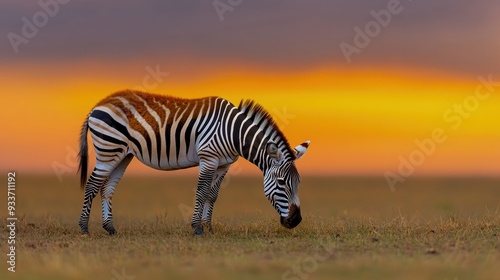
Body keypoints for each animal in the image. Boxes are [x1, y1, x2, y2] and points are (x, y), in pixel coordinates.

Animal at [77, 90, 308, 234]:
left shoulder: (223, 164)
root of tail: (97, 105)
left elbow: (212, 195)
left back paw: (110, 228)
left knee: (106, 188)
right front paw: (197, 228)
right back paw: (84, 228)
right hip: (108, 149)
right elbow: (201, 191)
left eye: (298, 183)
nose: (296, 220)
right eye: (281, 183)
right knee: (92, 185)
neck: (233, 133)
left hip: (121, 154)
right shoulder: (208, 158)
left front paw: (209, 227)